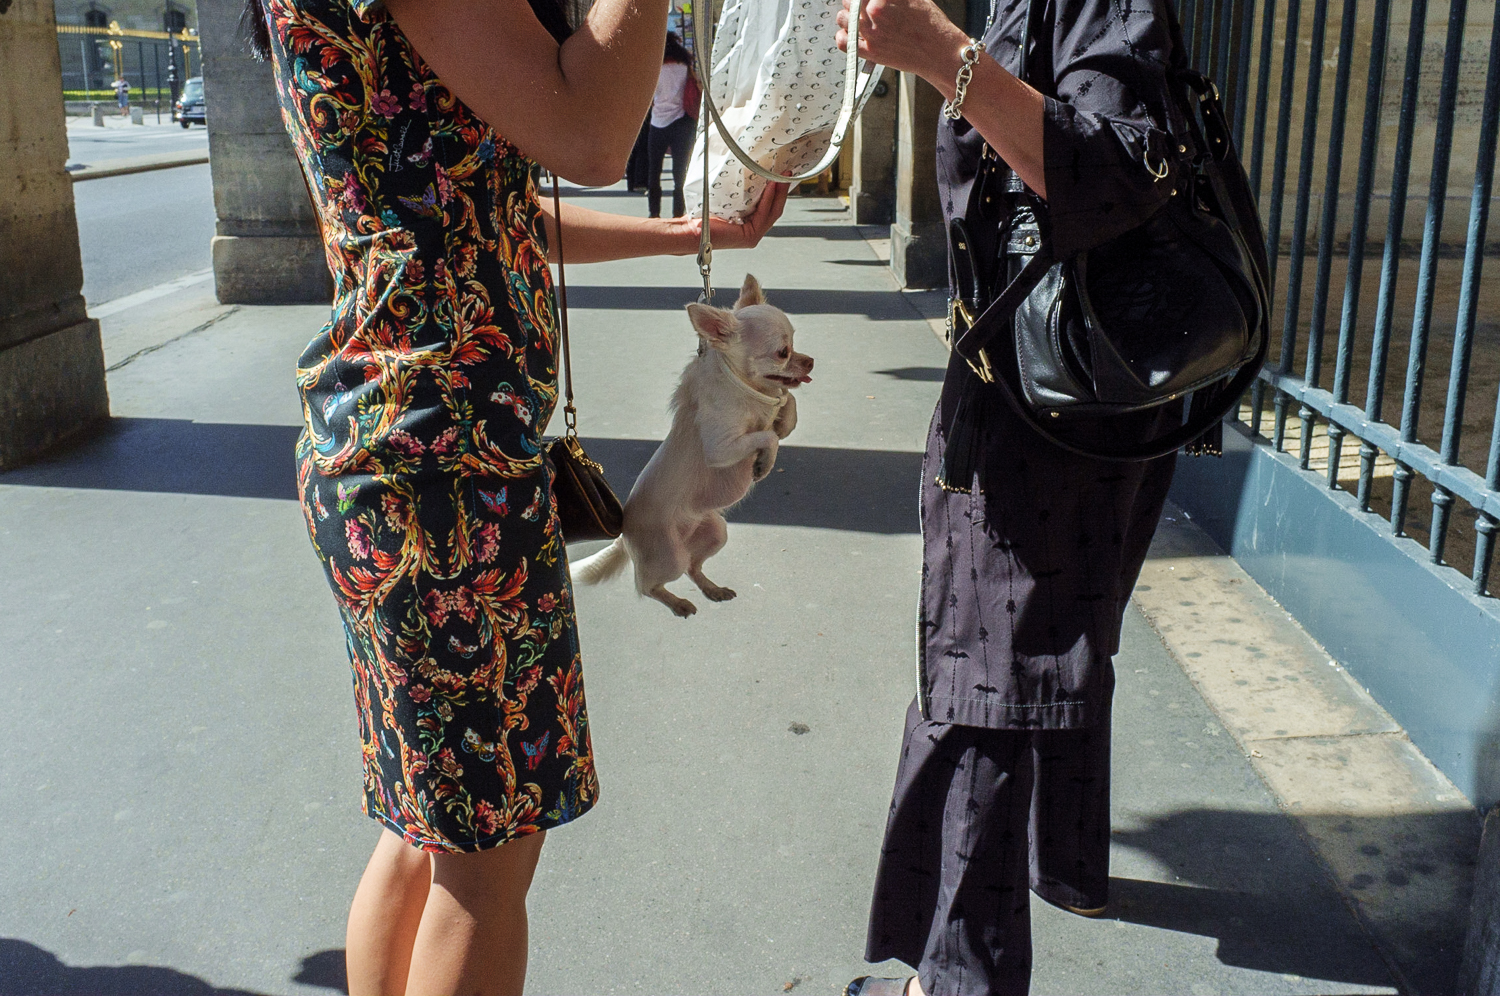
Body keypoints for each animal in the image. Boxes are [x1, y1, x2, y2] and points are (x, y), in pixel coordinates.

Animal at [567, 274, 816, 615]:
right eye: (782, 352)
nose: (811, 361)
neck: (748, 392)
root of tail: (624, 533)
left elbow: (788, 403)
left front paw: (785, 422)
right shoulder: (721, 448)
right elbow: (768, 435)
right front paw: (765, 462)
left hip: (715, 531)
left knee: (692, 568)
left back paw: (712, 589)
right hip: (668, 555)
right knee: (647, 586)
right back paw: (678, 604)